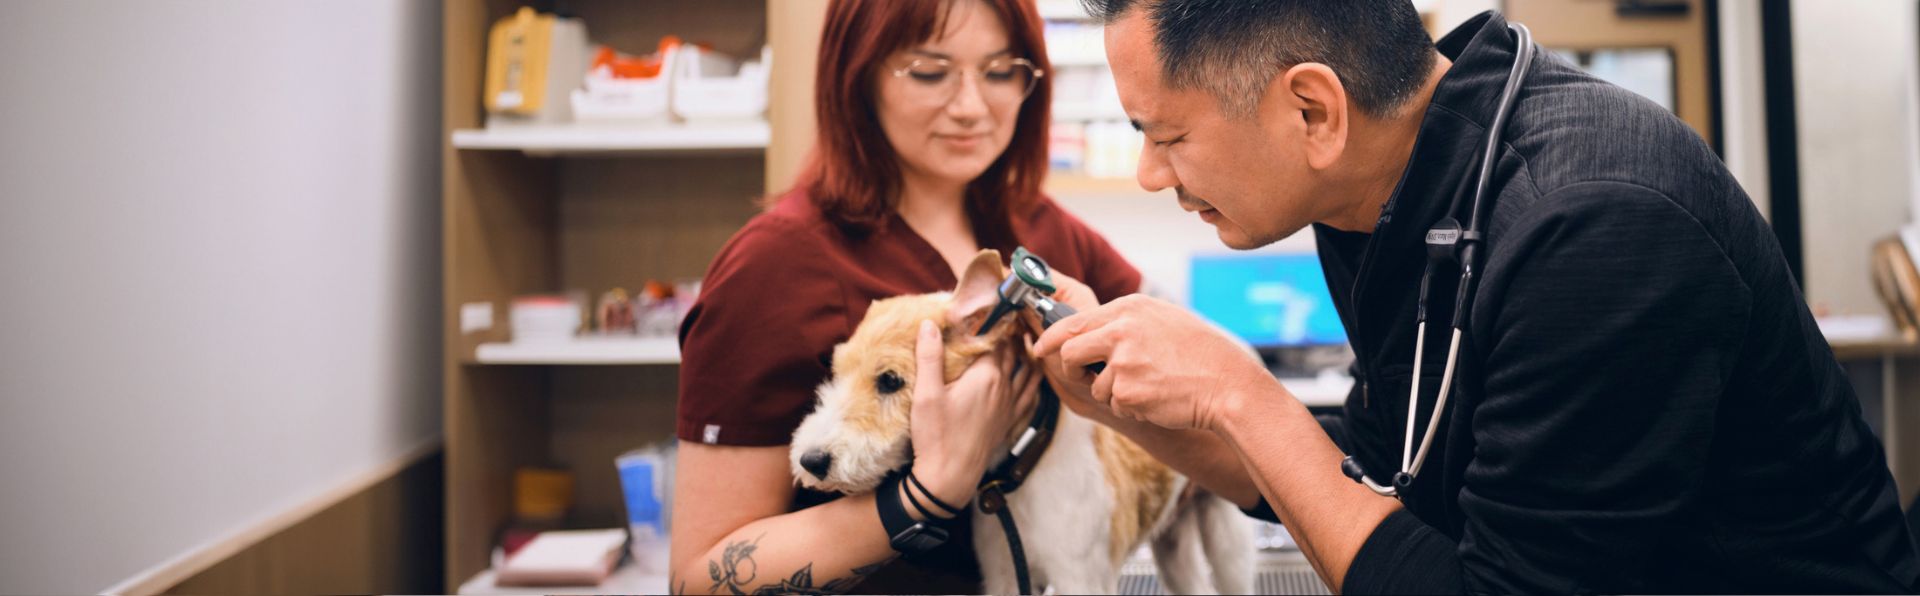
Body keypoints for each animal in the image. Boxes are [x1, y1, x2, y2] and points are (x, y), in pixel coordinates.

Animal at [787, 249, 1251, 592]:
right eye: (835, 370)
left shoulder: (1081, 578)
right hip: (1175, 540)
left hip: (1227, 538)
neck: (1025, 460)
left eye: (889, 380)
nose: (811, 460)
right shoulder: (1005, 574)